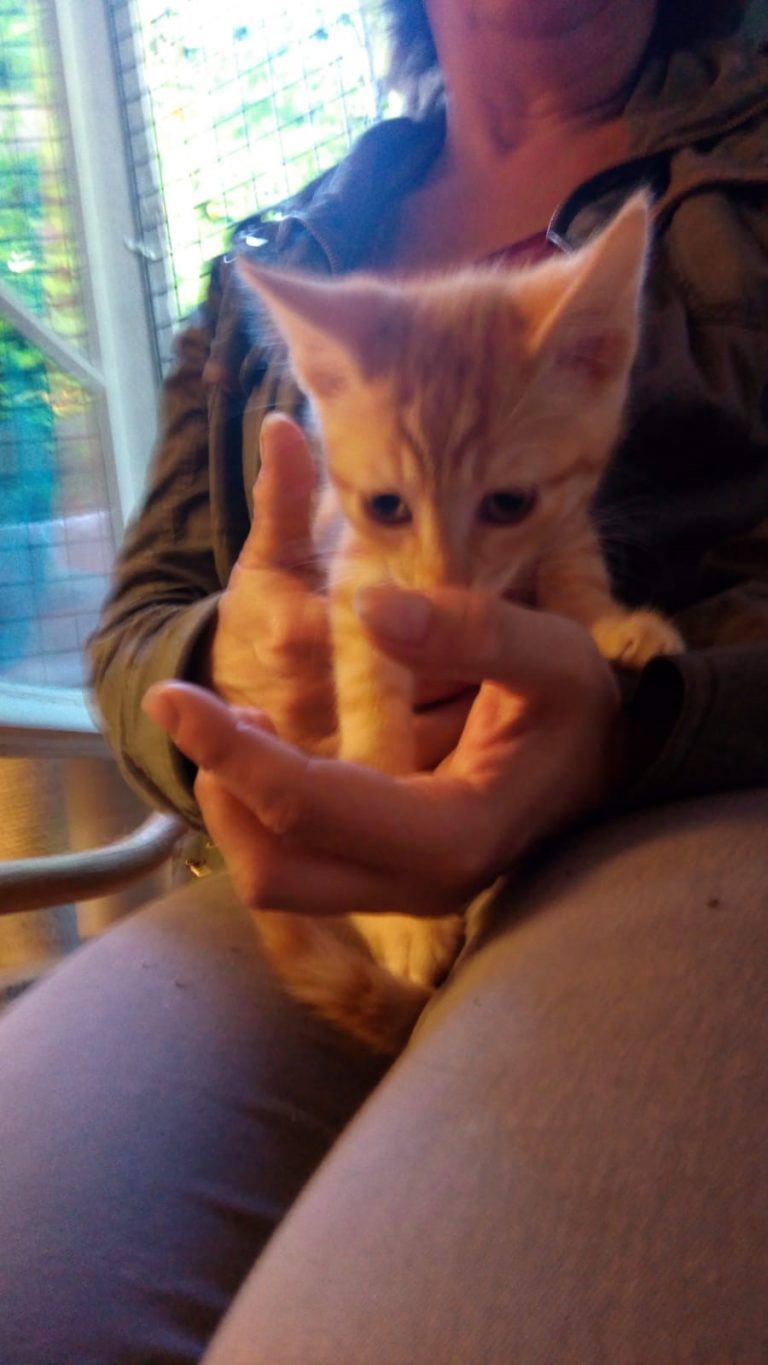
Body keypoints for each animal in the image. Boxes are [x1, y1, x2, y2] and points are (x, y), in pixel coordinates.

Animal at [237, 192, 682, 1053]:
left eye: (508, 502)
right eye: (387, 506)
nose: (442, 591)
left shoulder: (565, 506)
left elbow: (571, 549)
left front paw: (605, 621)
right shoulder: (355, 572)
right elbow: (370, 705)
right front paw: (399, 913)